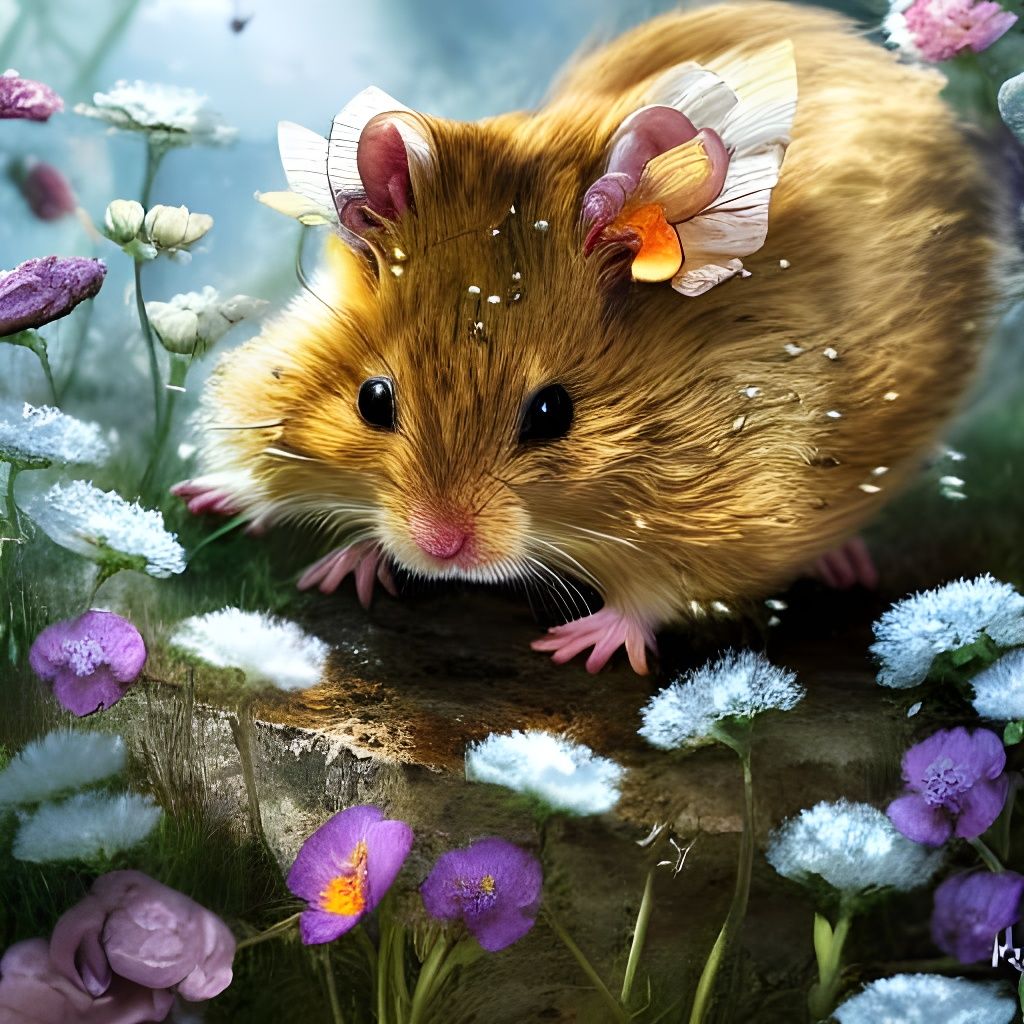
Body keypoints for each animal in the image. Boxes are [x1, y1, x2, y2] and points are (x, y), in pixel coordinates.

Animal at [177, 2, 1011, 676]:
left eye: (554, 414)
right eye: (373, 400)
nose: (442, 549)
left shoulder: (740, 513)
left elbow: (656, 592)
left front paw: (578, 645)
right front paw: (304, 547)